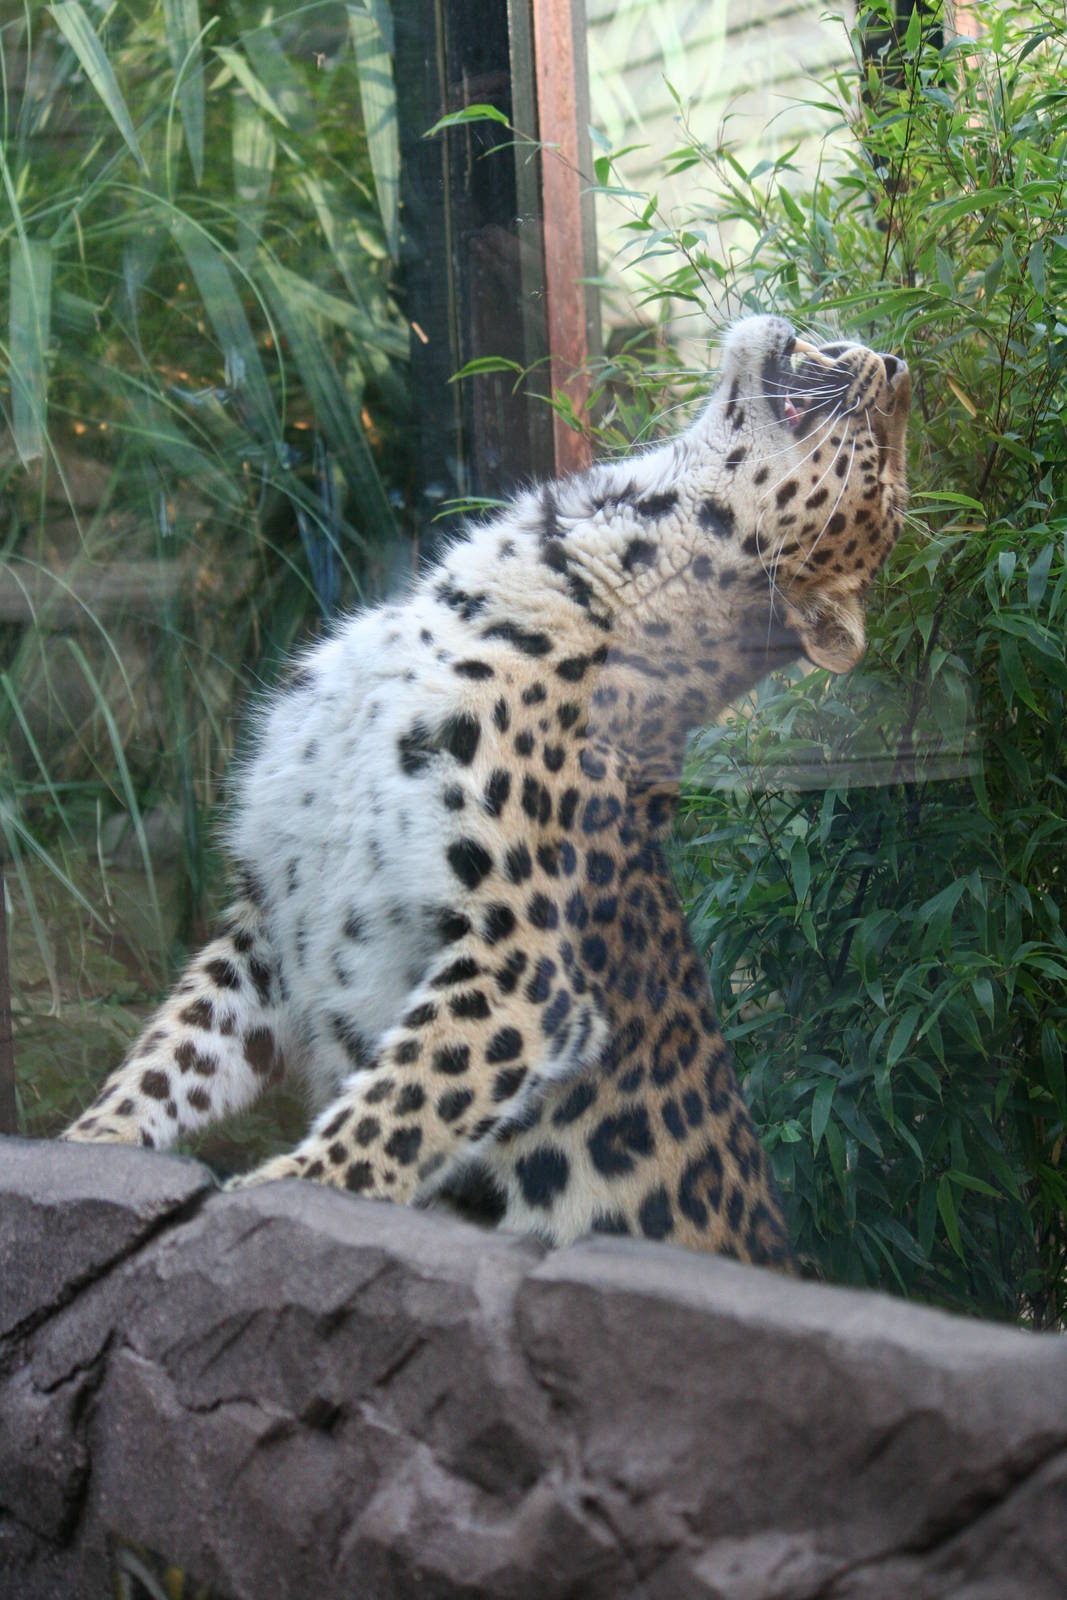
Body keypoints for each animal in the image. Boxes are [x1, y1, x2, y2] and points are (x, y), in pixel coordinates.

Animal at [63, 314, 910, 1267]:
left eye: (882, 465)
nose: (899, 367)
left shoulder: (522, 973)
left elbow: (395, 1107)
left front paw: (277, 1197)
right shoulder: (270, 917)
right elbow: (171, 1054)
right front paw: (89, 1148)